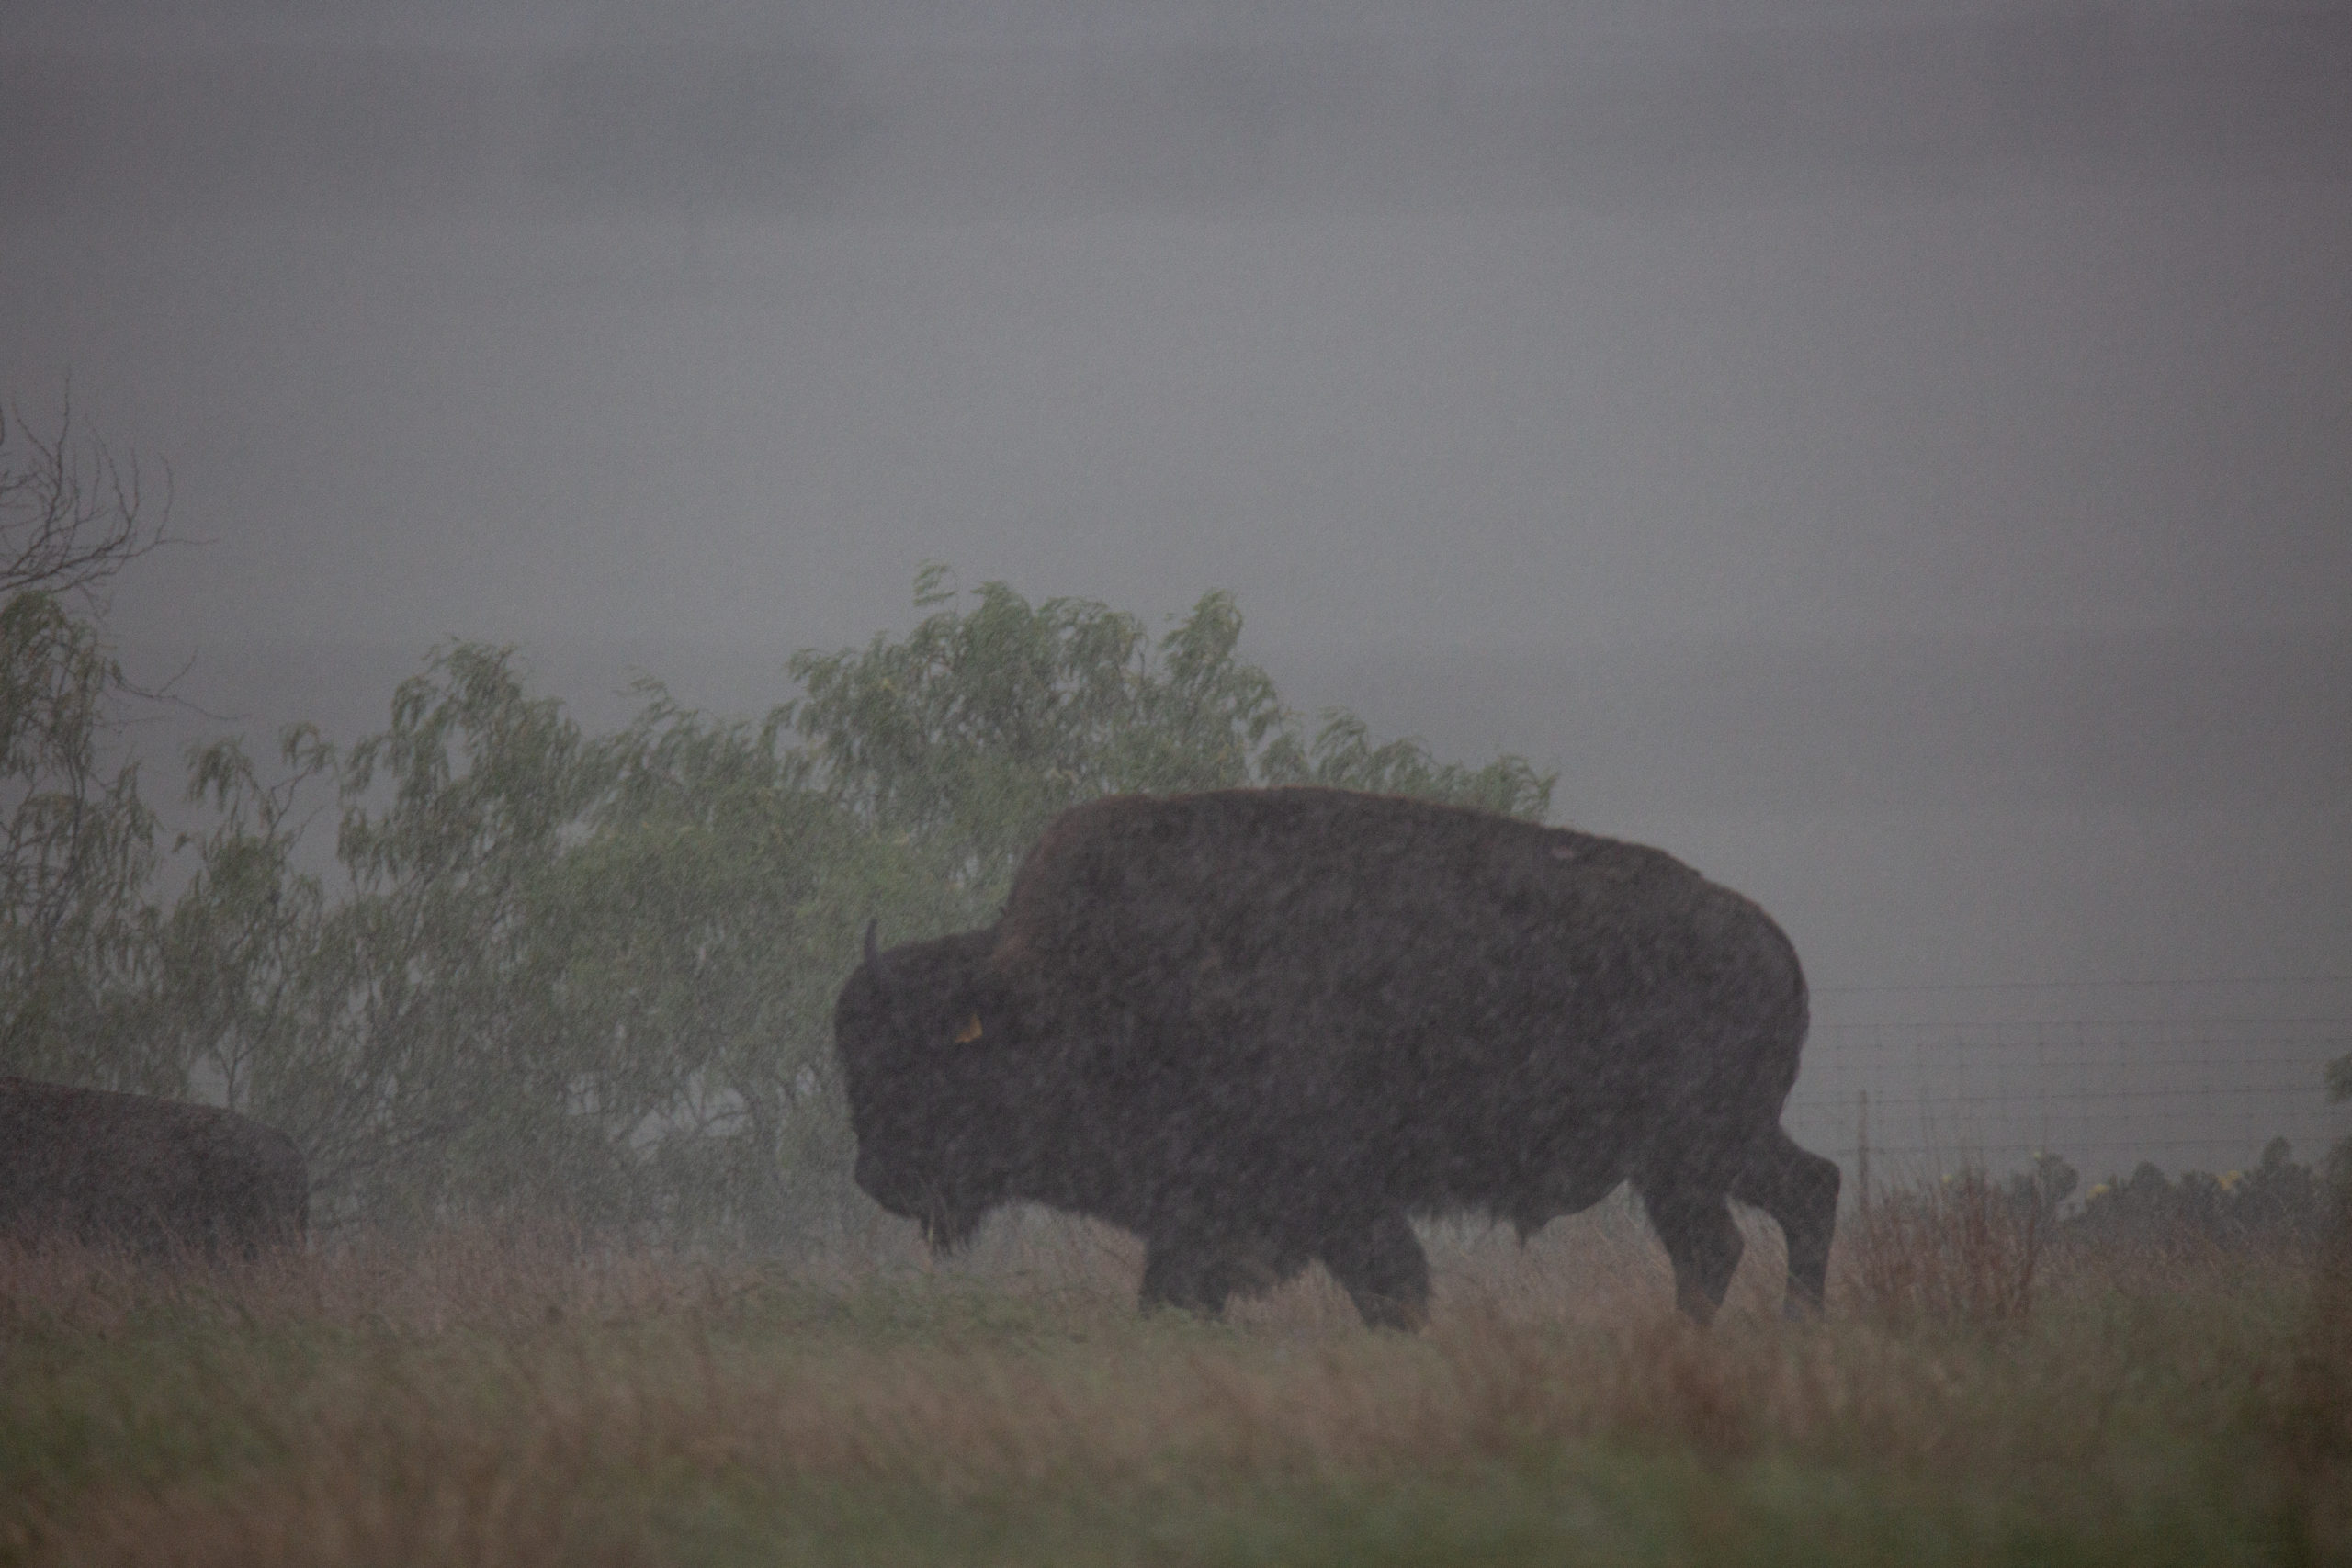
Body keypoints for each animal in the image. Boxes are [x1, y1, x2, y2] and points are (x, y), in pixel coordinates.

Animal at [837, 789, 1844, 1335]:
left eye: (917, 1064)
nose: (877, 1178)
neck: (1052, 989)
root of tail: (1769, 939)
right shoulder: (1206, 1217)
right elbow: (1179, 1295)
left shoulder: (1325, 1198)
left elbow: (1389, 1288)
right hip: (1713, 1150)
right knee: (1800, 1196)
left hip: (1689, 1155)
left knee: (1724, 1239)